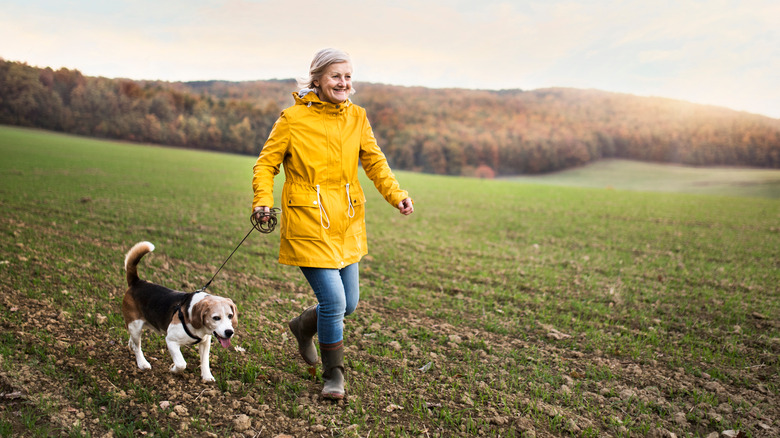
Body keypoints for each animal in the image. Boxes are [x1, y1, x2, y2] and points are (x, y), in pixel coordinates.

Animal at [121, 241, 238, 382]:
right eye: (216, 318)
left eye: (230, 316)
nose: (229, 332)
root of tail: (137, 282)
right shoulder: (171, 341)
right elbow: (182, 364)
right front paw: (173, 369)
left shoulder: (205, 342)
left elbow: (205, 361)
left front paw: (207, 376)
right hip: (136, 325)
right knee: (137, 346)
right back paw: (142, 363)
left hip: (137, 325)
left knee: (133, 341)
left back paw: (131, 346)